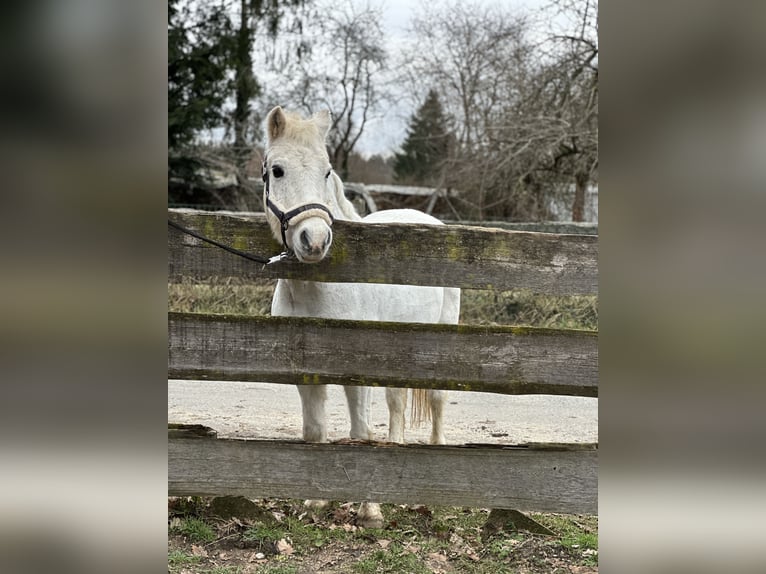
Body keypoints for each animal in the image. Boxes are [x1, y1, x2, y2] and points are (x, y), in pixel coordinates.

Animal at [264, 106, 460, 528]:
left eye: (326, 172)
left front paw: (369, 510)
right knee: (397, 402)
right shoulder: (307, 373)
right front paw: (314, 502)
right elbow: (315, 430)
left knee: (437, 400)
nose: (315, 241)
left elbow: (361, 428)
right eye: (277, 170)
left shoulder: (356, 372)